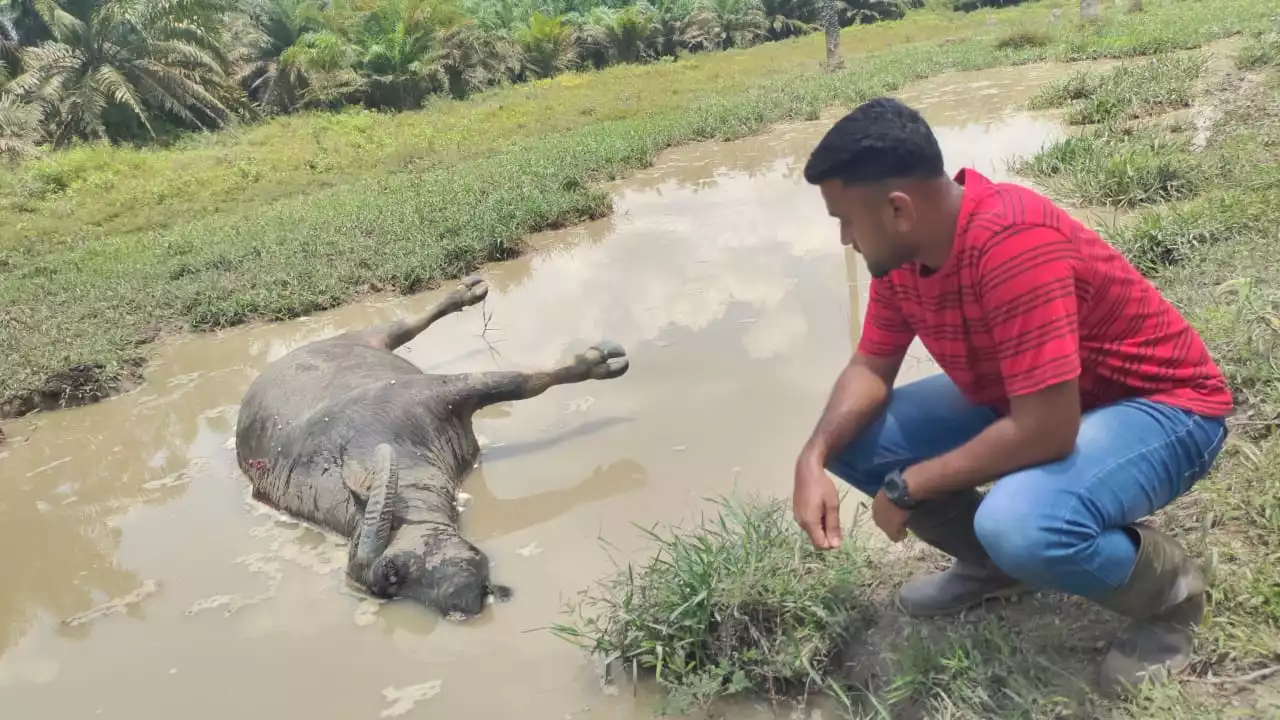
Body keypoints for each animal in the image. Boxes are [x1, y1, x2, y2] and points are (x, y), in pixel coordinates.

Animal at [234, 275, 629, 617]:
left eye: (392, 571)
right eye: (391, 588)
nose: (459, 604)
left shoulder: (440, 393)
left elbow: (521, 381)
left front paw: (597, 362)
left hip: (370, 334)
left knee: (407, 323)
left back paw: (467, 291)